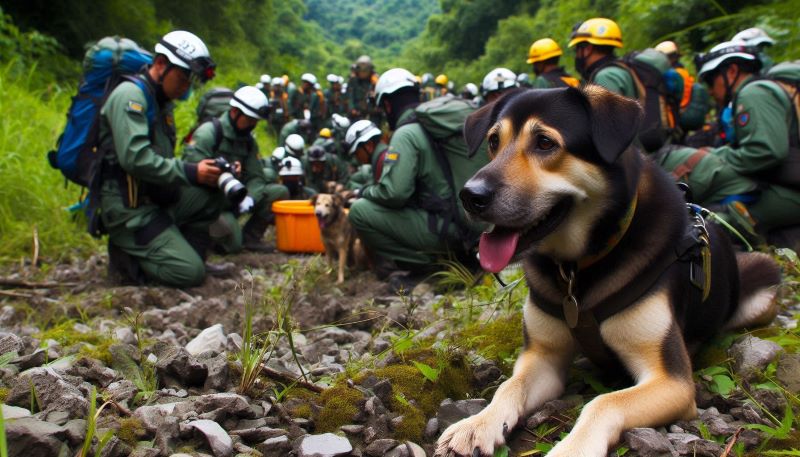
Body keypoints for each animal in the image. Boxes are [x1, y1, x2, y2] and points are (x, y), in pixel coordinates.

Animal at [434, 84, 780, 452]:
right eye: (493, 142)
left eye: (545, 143)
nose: (470, 196)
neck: (578, 266)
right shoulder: (543, 357)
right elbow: (509, 386)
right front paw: (477, 423)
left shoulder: (672, 380)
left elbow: (605, 402)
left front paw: (572, 449)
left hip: (761, 285)